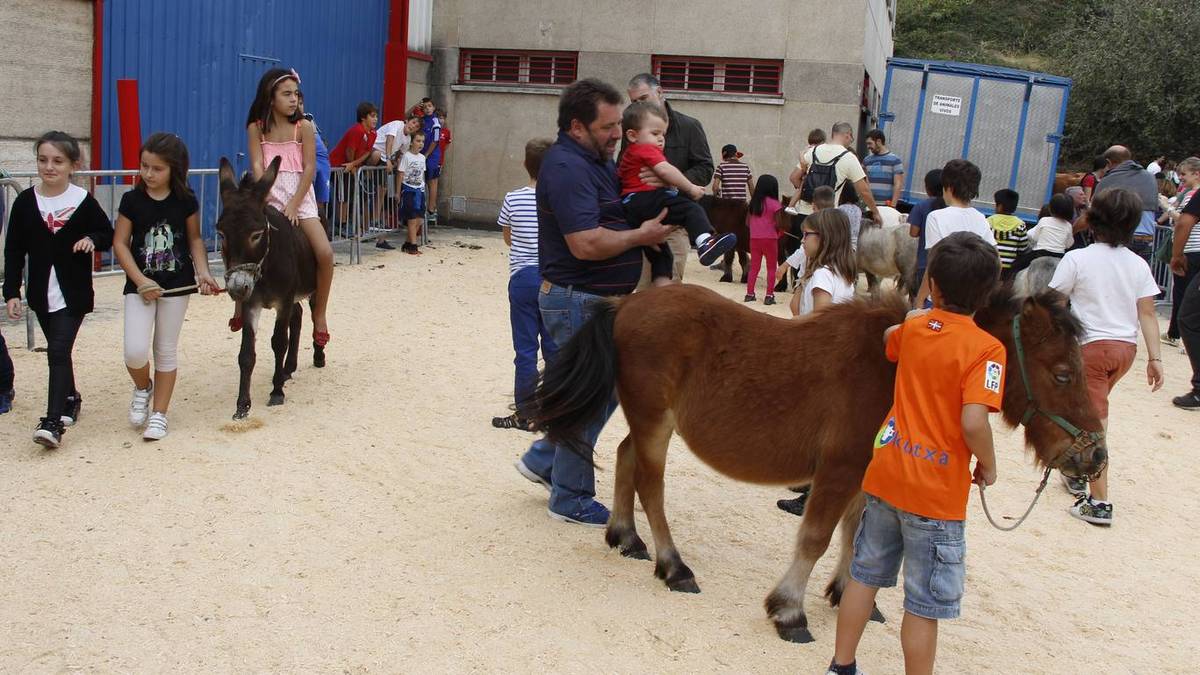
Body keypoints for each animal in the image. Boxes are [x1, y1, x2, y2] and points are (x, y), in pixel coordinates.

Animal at [532, 282, 1104, 638]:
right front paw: (789, 610)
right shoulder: (839, 469)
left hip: (649, 423)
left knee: (625, 457)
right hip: (657, 425)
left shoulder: (866, 473)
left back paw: (625, 537)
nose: (1094, 456)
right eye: (1061, 373)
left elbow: (857, 536)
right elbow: (816, 537)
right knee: (651, 485)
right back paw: (672, 566)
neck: (898, 366)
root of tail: (626, 304)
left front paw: (850, 594)